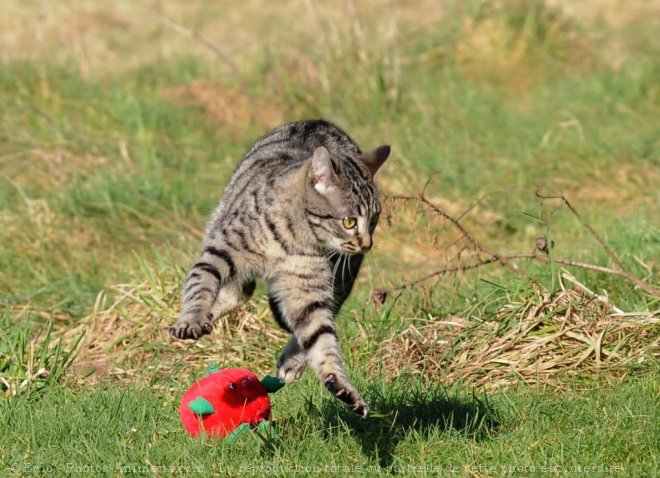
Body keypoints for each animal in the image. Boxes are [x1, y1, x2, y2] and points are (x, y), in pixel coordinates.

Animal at [168, 118, 392, 414]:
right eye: (349, 222)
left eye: (375, 218)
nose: (367, 243)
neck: (293, 237)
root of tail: (318, 120)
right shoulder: (220, 252)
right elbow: (200, 285)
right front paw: (192, 319)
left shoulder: (310, 289)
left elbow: (321, 336)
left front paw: (340, 383)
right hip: (219, 225)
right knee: (236, 293)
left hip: (341, 277)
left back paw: (291, 362)